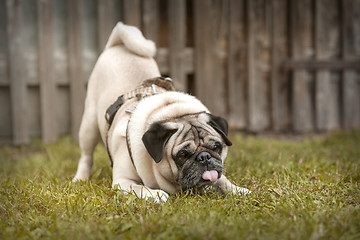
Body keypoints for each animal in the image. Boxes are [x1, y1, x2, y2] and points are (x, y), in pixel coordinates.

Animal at [73, 23, 250, 202]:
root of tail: (118, 44)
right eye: (182, 155)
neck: (171, 113)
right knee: (86, 156)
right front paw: (156, 194)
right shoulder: (123, 181)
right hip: (89, 126)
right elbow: (141, 188)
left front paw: (239, 190)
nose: (204, 157)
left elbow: (223, 181)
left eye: (216, 147)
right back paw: (80, 179)